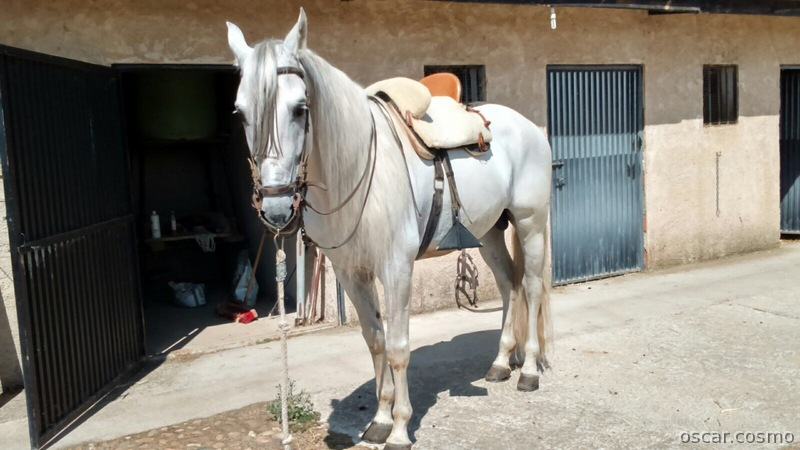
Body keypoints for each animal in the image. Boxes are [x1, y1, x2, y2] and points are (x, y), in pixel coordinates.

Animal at [226, 9, 552, 450]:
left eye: (299, 108)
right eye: (241, 113)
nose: (276, 208)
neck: (356, 168)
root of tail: (529, 127)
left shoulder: (396, 268)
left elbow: (398, 347)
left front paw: (399, 428)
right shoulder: (352, 273)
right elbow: (375, 339)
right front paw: (379, 420)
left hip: (530, 224)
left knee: (531, 288)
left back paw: (529, 370)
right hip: (487, 234)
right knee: (509, 285)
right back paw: (502, 363)